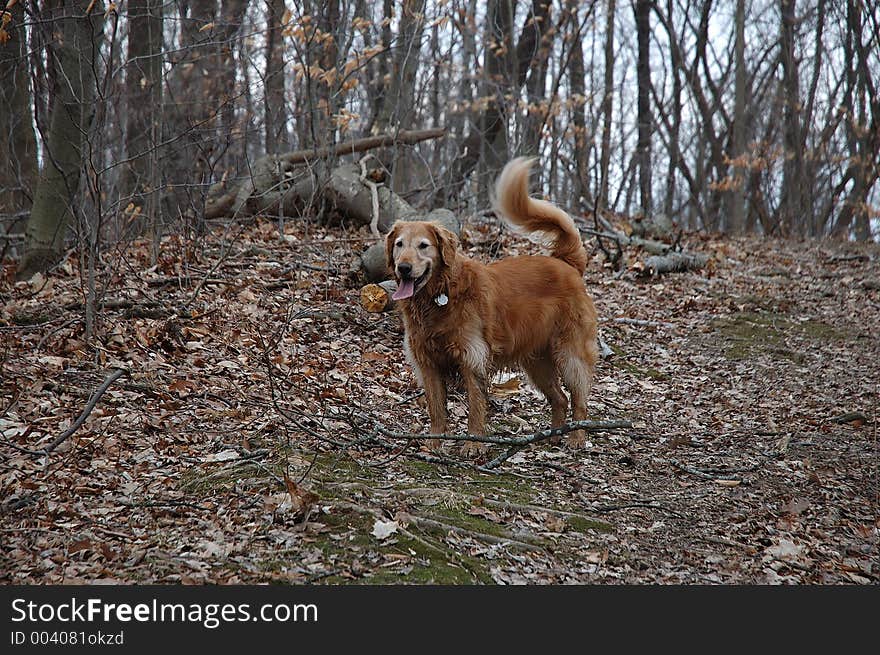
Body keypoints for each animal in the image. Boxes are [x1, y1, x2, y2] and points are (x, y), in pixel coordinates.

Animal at [386, 158, 600, 456]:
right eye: (399, 245)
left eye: (423, 246)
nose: (403, 268)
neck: (441, 294)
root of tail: (565, 262)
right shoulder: (427, 363)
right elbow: (436, 409)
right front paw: (435, 444)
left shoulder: (472, 358)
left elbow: (475, 407)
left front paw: (474, 444)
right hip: (538, 362)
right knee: (559, 398)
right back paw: (551, 437)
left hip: (570, 354)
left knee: (578, 399)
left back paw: (576, 437)